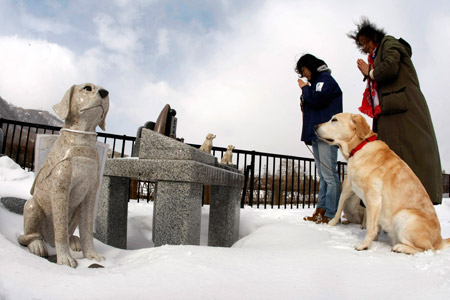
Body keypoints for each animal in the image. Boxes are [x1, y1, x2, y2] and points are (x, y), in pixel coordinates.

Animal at [17, 84, 110, 268]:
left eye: (103, 89)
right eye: (87, 88)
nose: (105, 93)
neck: (82, 142)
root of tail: (48, 240)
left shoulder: (90, 192)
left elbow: (87, 230)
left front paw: (92, 254)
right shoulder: (60, 188)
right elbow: (60, 229)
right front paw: (65, 259)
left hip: (74, 211)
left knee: (69, 232)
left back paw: (74, 240)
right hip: (32, 206)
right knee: (27, 237)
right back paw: (37, 245)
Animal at [316, 112, 450, 253]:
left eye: (334, 120)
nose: (314, 126)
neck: (359, 148)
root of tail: (439, 240)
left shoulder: (372, 197)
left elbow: (370, 225)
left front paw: (365, 245)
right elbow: (373, 225)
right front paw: (373, 240)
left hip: (404, 216)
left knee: (427, 248)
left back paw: (400, 247)